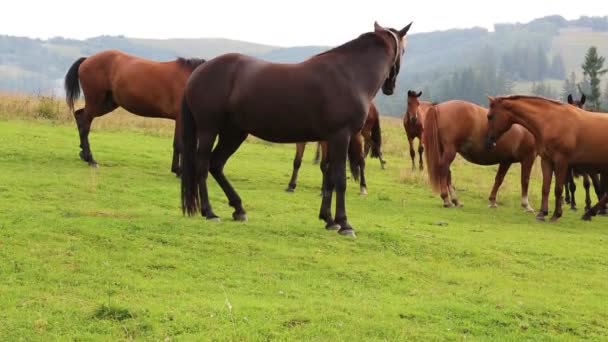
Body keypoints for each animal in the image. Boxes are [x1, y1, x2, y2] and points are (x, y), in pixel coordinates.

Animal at [63, 49, 207, 175]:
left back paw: (83, 153)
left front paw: (177, 169)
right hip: (95, 102)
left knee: (79, 116)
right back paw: (90, 159)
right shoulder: (181, 118)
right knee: (85, 127)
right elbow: (180, 144)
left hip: (105, 104)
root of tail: (87, 59)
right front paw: (179, 171)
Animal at [178, 20, 410, 236]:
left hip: (234, 133)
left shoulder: (330, 139)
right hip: (209, 130)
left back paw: (239, 209)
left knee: (216, 164)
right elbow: (339, 180)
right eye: (404, 50)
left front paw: (329, 220)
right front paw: (344, 224)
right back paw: (210, 212)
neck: (350, 74)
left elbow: (329, 178)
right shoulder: (340, 137)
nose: (391, 87)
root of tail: (197, 73)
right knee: (203, 165)